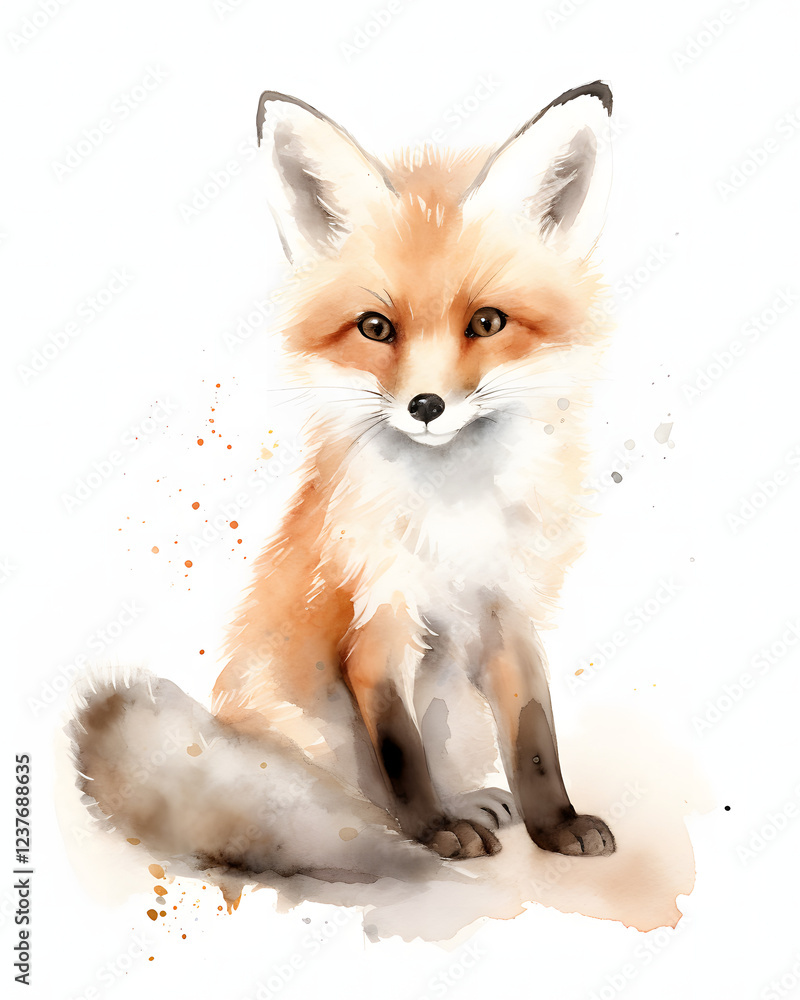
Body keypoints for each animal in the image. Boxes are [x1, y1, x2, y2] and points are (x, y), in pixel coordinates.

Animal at [69, 81, 617, 886]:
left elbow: (534, 740)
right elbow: (400, 753)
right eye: (375, 327)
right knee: (336, 804)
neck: (451, 513)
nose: (427, 407)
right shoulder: (375, 626)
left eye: (487, 322)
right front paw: (434, 832)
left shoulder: (507, 616)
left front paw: (556, 826)